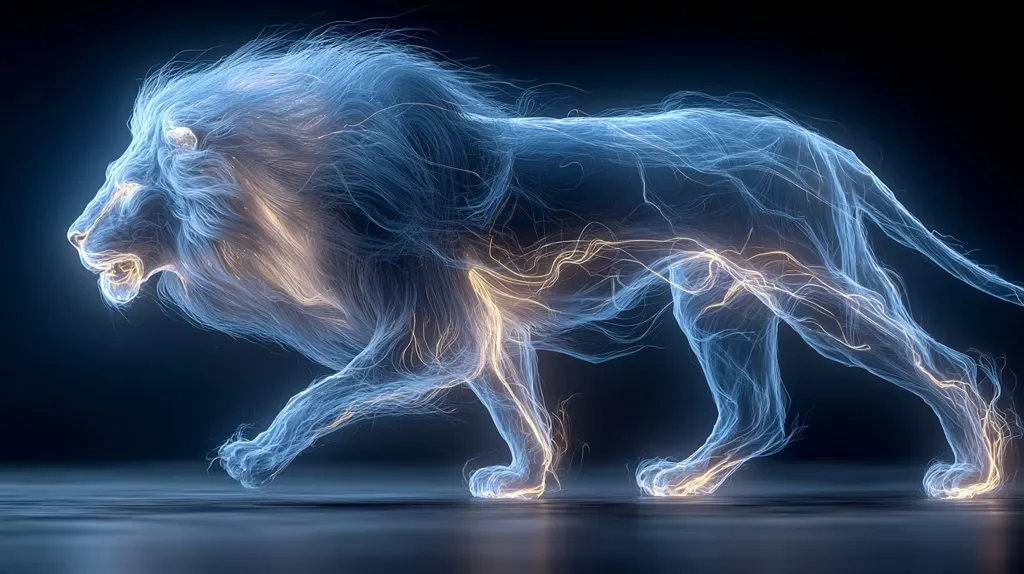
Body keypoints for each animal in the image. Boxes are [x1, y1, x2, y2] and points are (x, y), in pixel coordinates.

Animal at [67, 32, 1019, 500]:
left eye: (128, 188)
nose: (73, 237)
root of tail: (823, 143)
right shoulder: (476, 324)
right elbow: (516, 406)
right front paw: (523, 483)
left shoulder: (429, 329)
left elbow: (322, 393)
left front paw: (256, 459)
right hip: (719, 298)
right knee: (755, 408)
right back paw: (680, 483)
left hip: (807, 280)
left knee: (945, 363)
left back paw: (971, 477)